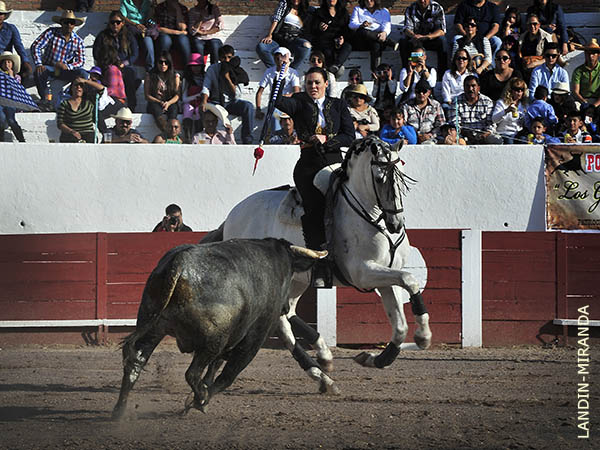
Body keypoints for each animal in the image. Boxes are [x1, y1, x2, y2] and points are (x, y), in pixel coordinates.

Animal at [114, 237, 326, 416]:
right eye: (289, 275)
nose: (286, 308)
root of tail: (181, 262)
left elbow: (214, 368)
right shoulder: (255, 335)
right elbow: (228, 374)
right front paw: (200, 400)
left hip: (152, 327)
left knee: (136, 363)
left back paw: (119, 411)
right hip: (214, 340)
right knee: (192, 373)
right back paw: (200, 398)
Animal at [202, 137, 432, 394]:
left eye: (402, 179)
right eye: (380, 179)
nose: (395, 224)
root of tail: (234, 214)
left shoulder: (385, 277)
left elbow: (400, 324)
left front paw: (374, 358)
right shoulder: (363, 272)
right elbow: (410, 280)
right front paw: (423, 336)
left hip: (296, 280)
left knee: (286, 313)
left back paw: (323, 365)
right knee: (280, 318)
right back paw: (321, 366)